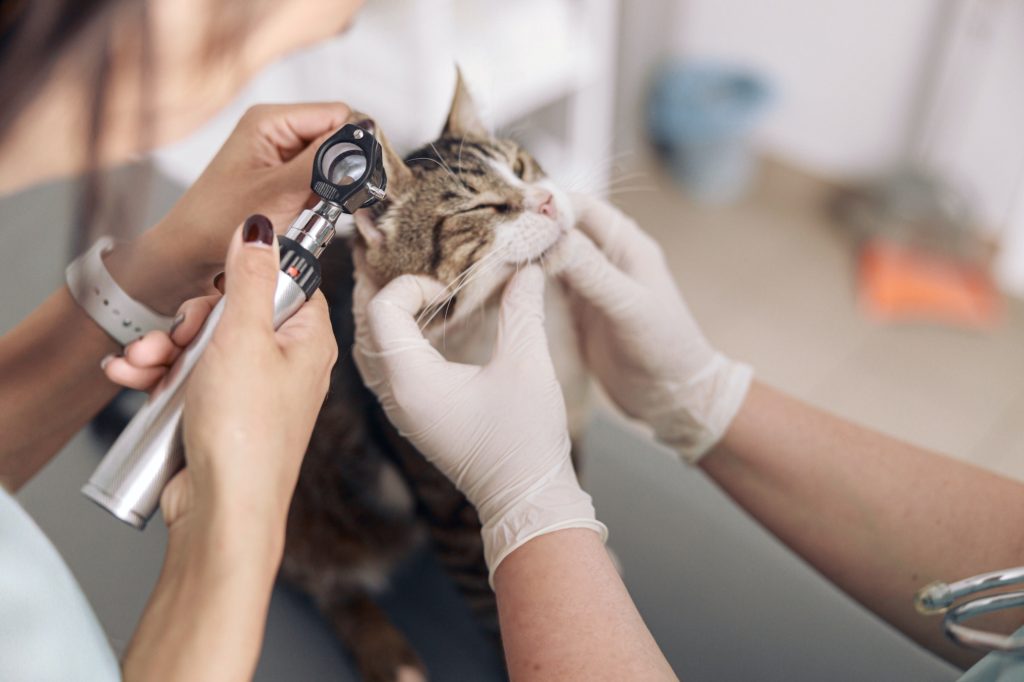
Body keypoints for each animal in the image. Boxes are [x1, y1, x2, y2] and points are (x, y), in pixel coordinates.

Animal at [282, 74, 593, 679]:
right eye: (486, 207)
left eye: (522, 166)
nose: (546, 200)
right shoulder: (451, 506)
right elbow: (490, 595)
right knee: (321, 580)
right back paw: (390, 654)